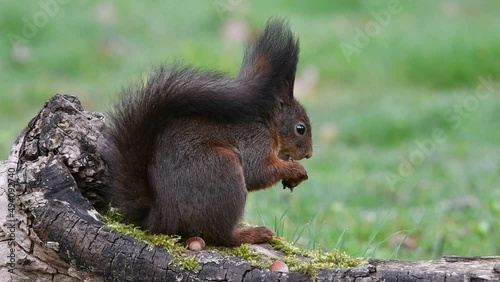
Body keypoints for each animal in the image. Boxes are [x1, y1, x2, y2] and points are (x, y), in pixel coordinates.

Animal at [102, 18, 312, 246]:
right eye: (300, 128)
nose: (309, 154)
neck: (267, 123)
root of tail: (159, 216)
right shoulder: (254, 140)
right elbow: (258, 172)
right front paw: (295, 170)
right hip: (222, 169)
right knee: (221, 235)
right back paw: (252, 234)